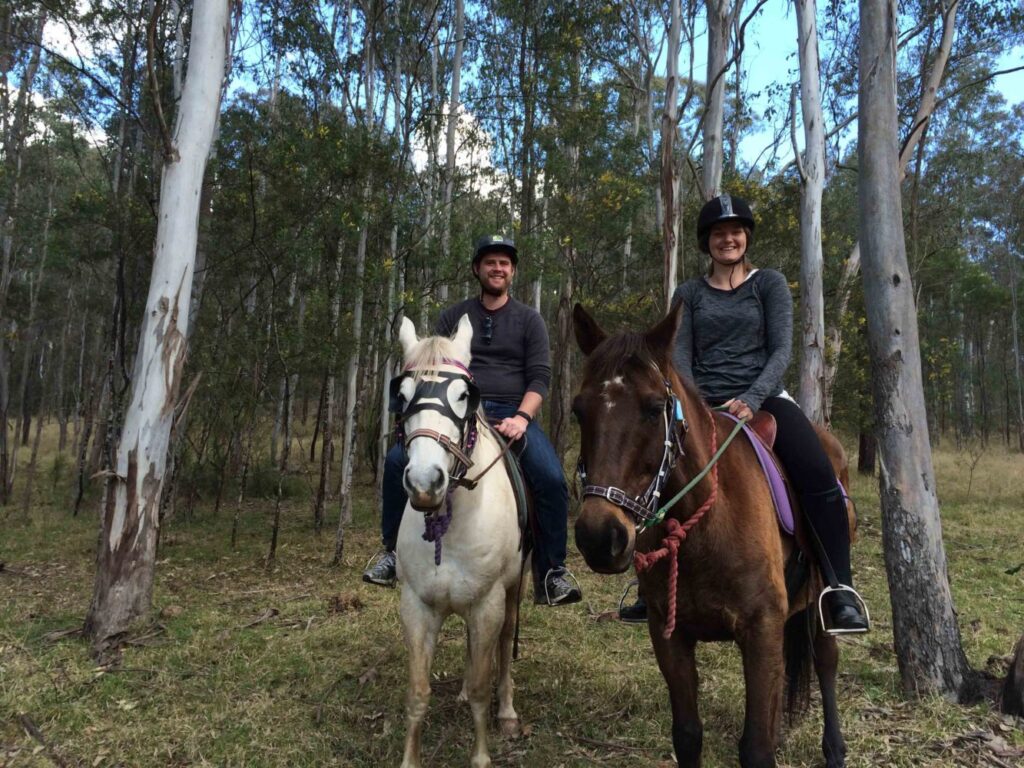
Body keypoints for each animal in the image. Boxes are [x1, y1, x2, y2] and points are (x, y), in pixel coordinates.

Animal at [389, 313, 520, 768]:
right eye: (403, 396)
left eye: (464, 395)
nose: (425, 482)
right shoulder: (416, 606)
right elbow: (416, 693)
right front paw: (410, 760)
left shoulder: (489, 602)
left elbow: (483, 687)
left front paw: (481, 756)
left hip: (513, 591)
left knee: (503, 647)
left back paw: (507, 712)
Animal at [573, 305, 851, 768]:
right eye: (579, 410)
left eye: (654, 408)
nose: (599, 536)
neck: (702, 526)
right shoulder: (670, 636)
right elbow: (687, 735)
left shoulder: (760, 630)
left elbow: (756, 748)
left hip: (821, 597)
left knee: (826, 659)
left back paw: (834, 749)